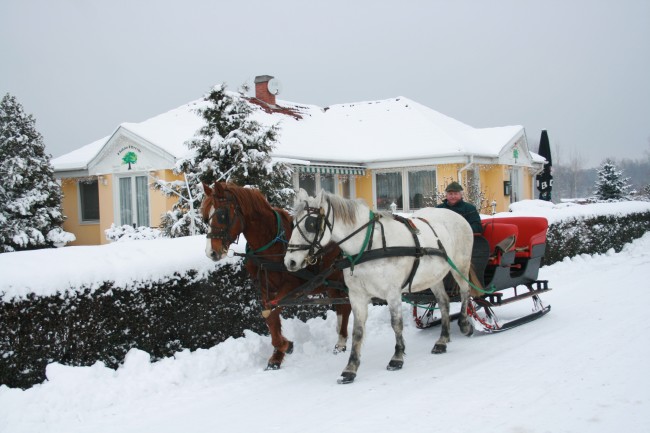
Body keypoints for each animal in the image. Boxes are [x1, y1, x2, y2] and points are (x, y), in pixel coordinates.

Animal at [200, 181, 350, 368]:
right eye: (205, 217)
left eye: (222, 215)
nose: (211, 252)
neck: (271, 244)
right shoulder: (265, 287)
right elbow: (270, 317)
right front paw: (278, 354)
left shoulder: (291, 287)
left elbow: (272, 312)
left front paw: (284, 345)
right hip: (332, 283)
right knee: (342, 307)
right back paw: (340, 339)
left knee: (346, 306)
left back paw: (341, 342)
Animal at [284, 191, 476, 384]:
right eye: (293, 223)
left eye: (310, 224)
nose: (290, 261)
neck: (369, 244)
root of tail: (456, 215)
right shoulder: (357, 295)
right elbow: (358, 331)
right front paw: (350, 368)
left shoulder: (393, 292)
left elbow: (396, 324)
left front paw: (397, 358)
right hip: (434, 277)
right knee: (444, 302)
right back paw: (442, 340)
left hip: (460, 266)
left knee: (465, 292)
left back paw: (465, 324)